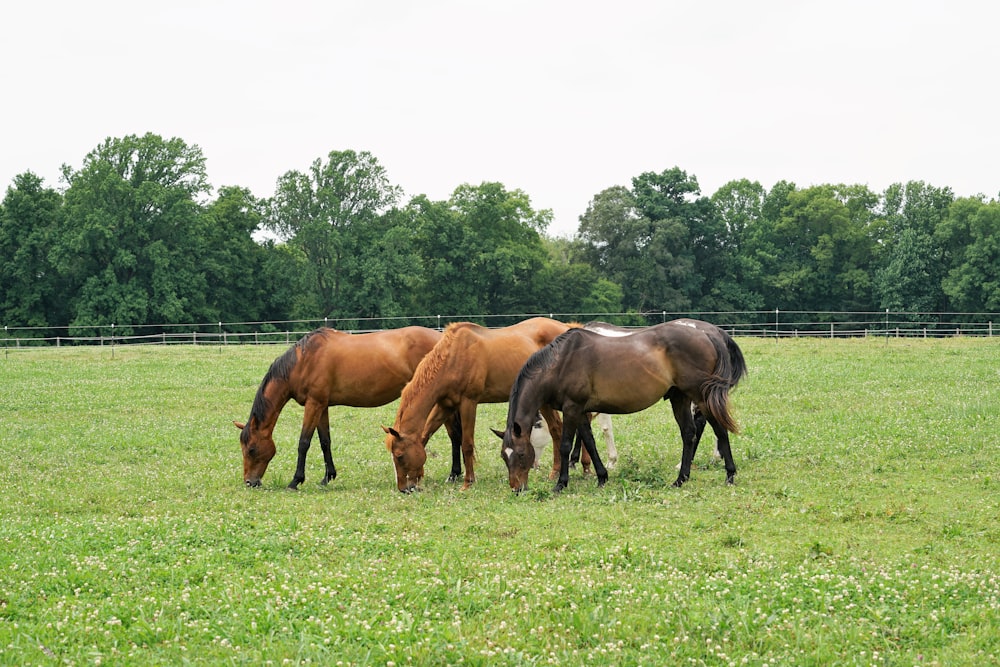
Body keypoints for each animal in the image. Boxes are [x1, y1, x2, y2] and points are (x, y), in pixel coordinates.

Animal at [234, 328, 458, 490]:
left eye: (252, 449)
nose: (250, 482)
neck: (304, 361)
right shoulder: (321, 406)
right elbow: (325, 442)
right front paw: (327, 477)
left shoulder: (313, 405)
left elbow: (304, 443)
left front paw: (295, 481)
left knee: (454, 434)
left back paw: (454, 474)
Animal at [380, 316, 576, 494]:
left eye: (399, 456)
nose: (405, 488)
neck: (454, 356)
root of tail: (566, 327)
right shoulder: (445, 406)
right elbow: (427, 435)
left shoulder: (468, 403)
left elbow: (467, 444)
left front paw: (468, 482)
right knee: (556, 429)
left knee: (556, 429)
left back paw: (556, 472)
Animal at [500, 320, 744, 494]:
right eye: (504, 456)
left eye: (521, 454)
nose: (517, 489)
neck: (561, 362)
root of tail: (708, 334)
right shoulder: (580, 411)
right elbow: (589, 441)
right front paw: (601, 477)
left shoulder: (571, 409)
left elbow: (566, 445)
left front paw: (561, 484)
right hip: (680, 398)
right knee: (689, 433)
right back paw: (680, 479)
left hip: (701, 396)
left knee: (719, 429)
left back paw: (730, 475)